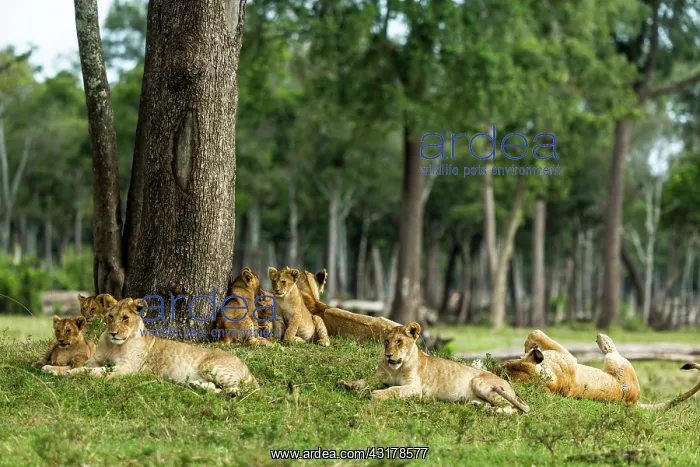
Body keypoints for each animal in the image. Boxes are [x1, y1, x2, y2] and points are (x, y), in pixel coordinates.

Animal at [66, 297, 258, 396]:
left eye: (125, 318)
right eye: (110, 316)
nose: (113, 333)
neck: (114, 345)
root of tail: (247, 367)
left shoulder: (127, 368)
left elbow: (99, 373)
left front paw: (73, 373)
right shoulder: (94, 360)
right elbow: (84, 366)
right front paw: (61, 370)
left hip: (211, 367)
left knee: (249, 389)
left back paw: (232, 393)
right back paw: (196, 386)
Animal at [338, 322, 530, 415]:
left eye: (399, 341)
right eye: (386, 341)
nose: (388, 355)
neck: (396, 367)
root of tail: (512, 388)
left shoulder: (414, 388)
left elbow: (394, 390)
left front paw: (376, 394)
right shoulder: (379, 378)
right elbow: (364, 380)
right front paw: (347, 383)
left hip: (481, 383)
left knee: (514, 409)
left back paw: (491, 410)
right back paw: (477, 405)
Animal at [498, 329, 700, 409]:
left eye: (505, 365)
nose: (498, 365)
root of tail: (634, 401)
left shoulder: (566, 355)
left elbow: (535, 334)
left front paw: (528, 348)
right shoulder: (566, 356)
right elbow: (535, 334)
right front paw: (529, 347)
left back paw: (603, 338)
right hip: (616, 362)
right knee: (612, 352)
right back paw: (604, 339)